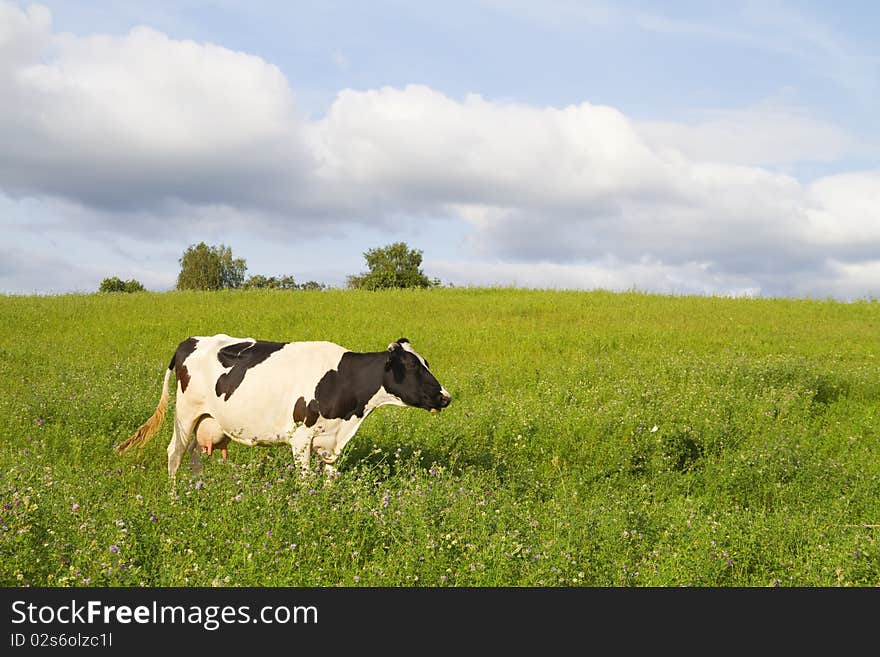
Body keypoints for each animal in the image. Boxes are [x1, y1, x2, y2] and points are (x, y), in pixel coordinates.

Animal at [113, 334, 450, 476]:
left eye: (427, 363)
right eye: (413, 366)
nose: (445, 397)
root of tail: (189, 340)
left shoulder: (331, 441)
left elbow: (329, 479)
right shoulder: (301, 439)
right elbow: (305, 480)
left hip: (204, 419)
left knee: (193, 455)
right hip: (185, 414)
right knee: (175, 453)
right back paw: (174, 499)